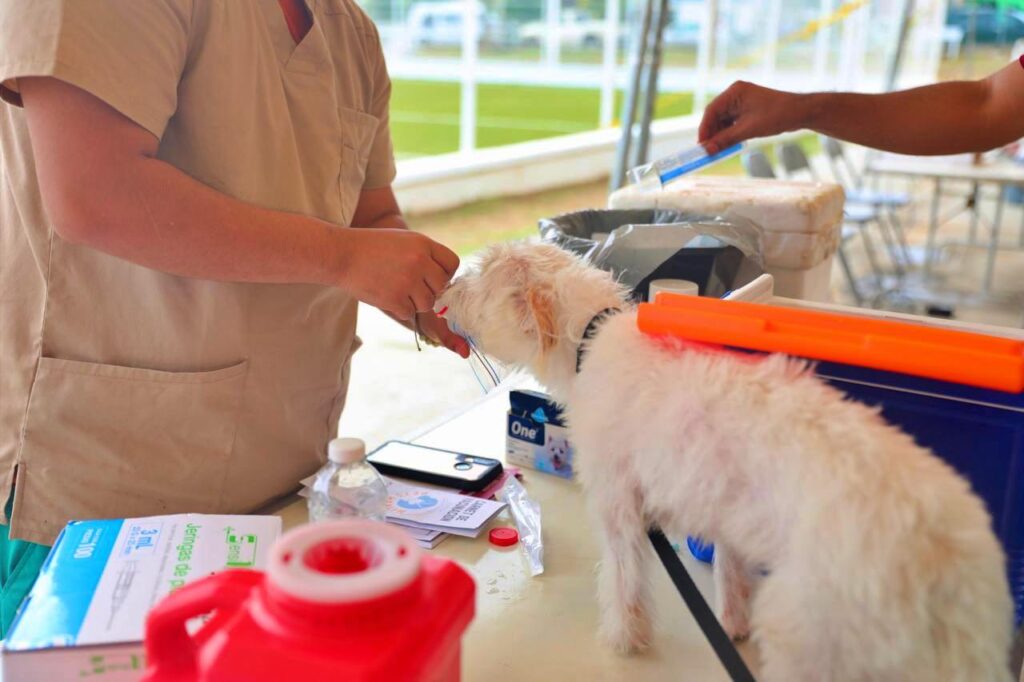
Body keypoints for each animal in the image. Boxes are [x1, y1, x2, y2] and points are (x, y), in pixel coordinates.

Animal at [436, 240, 1011, 679]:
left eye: (481, 277)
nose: (443, 293)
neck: (591, 337)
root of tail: (942, 551)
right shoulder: (727, 514)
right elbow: (731, 573)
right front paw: (732, 624)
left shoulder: (618, 505)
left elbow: (623, 580)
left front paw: (624, 638)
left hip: (806, 632)